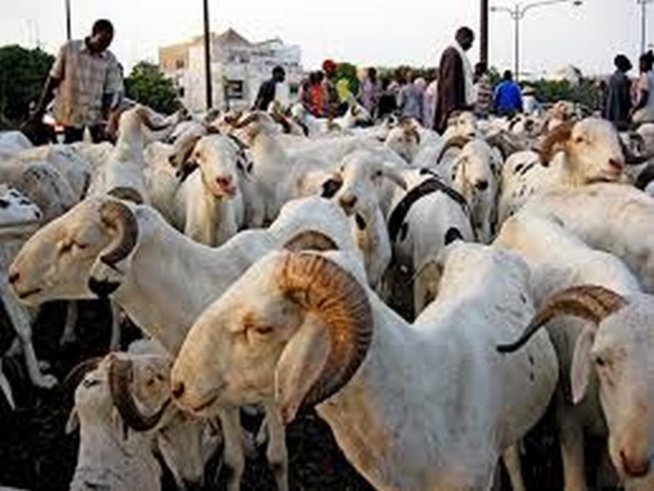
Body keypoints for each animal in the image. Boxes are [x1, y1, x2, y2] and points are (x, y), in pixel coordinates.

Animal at [498, 212, 644, 491]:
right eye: (599, 359)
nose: (635, 461)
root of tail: (518, 217)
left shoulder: (610, 442)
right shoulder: (568, 420)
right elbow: (576, 483)